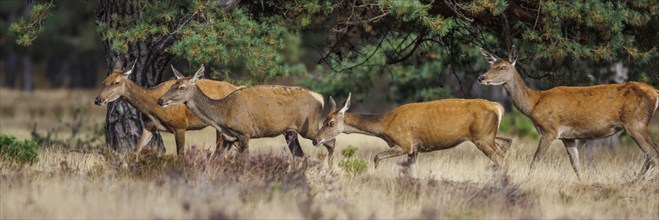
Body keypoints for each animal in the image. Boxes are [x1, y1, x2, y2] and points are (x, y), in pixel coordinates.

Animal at [91, 61, 238, 156]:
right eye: (104, 82)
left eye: (117, 82)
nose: (98, 99)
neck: (152, 109)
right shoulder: (149, 126)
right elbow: (135, 150)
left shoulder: (180, 125)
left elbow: (180, 155)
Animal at [156, 64, 336, 159]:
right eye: (172, 84)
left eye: (181, 87)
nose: (160, 100)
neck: (222, 115)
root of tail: (320, 97)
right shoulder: (229, 138)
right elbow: (216, 157)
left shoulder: (245, 132)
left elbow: (245, 160)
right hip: (290, 132)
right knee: (300, 155)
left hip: (309, 127)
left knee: (330, 142)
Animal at [312, 93, 512, 169]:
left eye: (329, 122)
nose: (315, 140)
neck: (385, 125)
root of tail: (498, 107)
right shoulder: (415, 149)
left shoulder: (405, 143)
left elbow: (377, 157)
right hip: (488, 136)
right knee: (507, 144)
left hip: (482, 137)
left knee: (501, 157)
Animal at [480, 45, 659, 180]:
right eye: (490, 66)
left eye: (502, 67)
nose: (481, 77)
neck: (533, 103)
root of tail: (655, 93)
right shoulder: (568, 137)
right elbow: (576, 166)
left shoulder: (549, 130)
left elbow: (535, 161)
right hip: (638, 125)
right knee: (651, 154)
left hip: (636, 124)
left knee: (653, 154)